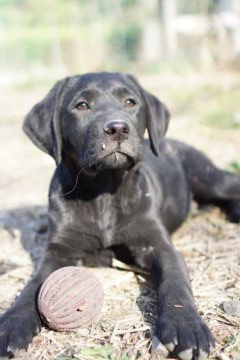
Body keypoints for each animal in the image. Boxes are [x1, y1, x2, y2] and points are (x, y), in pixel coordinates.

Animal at [0, 71, 239, 358]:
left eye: (130, 102)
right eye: (82, 105)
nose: (117, 128)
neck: (104, 191)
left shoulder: (157, 244)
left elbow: (175, 282)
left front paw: (187, 326)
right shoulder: (59, 251)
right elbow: (33, 286)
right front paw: (11, 324)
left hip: (208, 177)